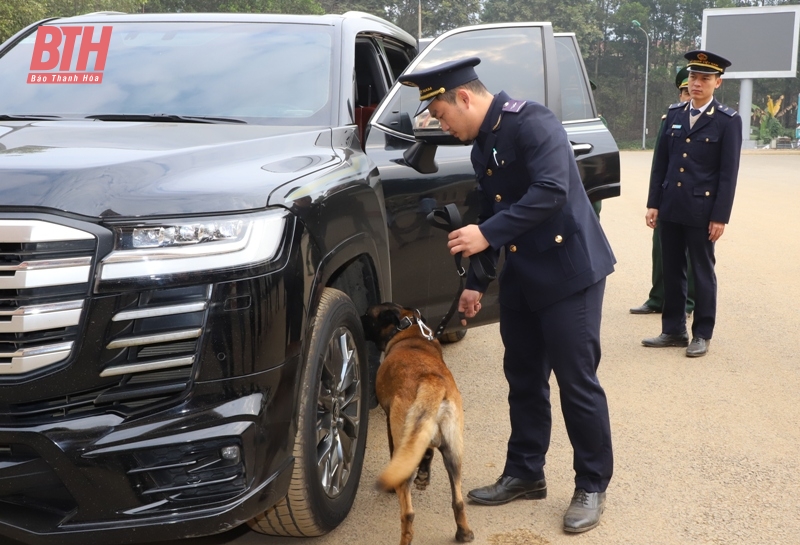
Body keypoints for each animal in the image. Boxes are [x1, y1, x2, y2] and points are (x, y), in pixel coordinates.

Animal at [360, 302, 472, 544]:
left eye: (368, 315)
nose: (358, 315)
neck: (409, 329)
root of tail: (431, 381)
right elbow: (427, 453)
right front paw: (424, 475)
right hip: (453, 453)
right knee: (458, 501)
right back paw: (464, 533)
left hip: (406, 443)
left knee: (408, 514)